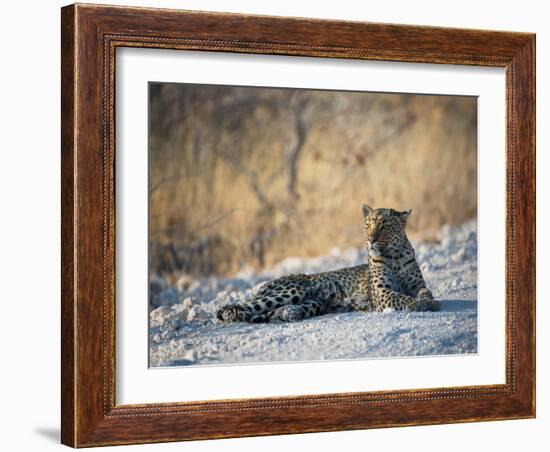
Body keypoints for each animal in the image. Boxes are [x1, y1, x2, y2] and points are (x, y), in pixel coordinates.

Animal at [218, 203, 442, 324]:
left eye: (385, 226)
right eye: (368, 225)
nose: (370, 240)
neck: (394, 255)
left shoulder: (417, 284)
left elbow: (425, 291)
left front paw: (428, 301)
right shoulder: (382, 293)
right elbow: (401, 298)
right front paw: (417, 304)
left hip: (313, 302)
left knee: (272, 311)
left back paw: (289, 313)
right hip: (291, 290)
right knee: (238, 307)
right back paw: (233, 314)